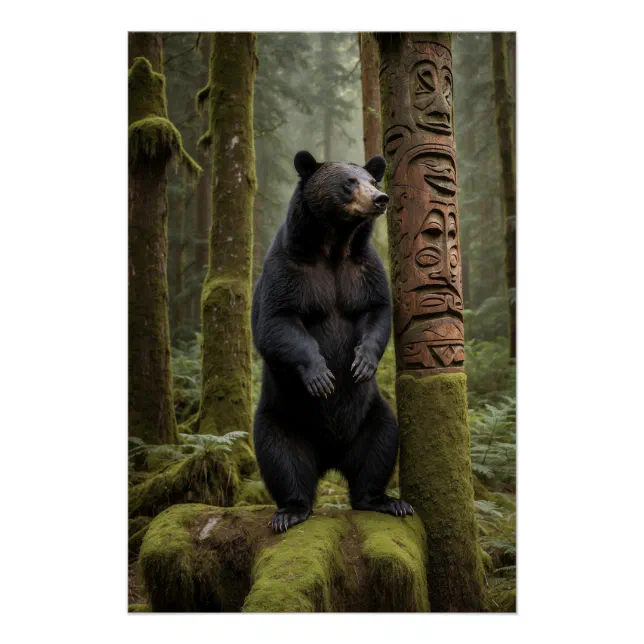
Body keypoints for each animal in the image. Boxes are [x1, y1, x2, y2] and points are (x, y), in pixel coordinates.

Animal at [251, 150, 414, 533]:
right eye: (349, 182)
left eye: (372, 179)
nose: (380, 199)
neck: (333, 244)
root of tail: (330, 457)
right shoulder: (288, 269)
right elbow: (277, 323)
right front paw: (322, 377)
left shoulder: (363, 269)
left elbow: (377, 311)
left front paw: (362, 363)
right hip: (283, 416)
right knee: (281, 458)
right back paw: (291, 510)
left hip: (372, 413)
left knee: (381, 446)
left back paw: (385, 500)